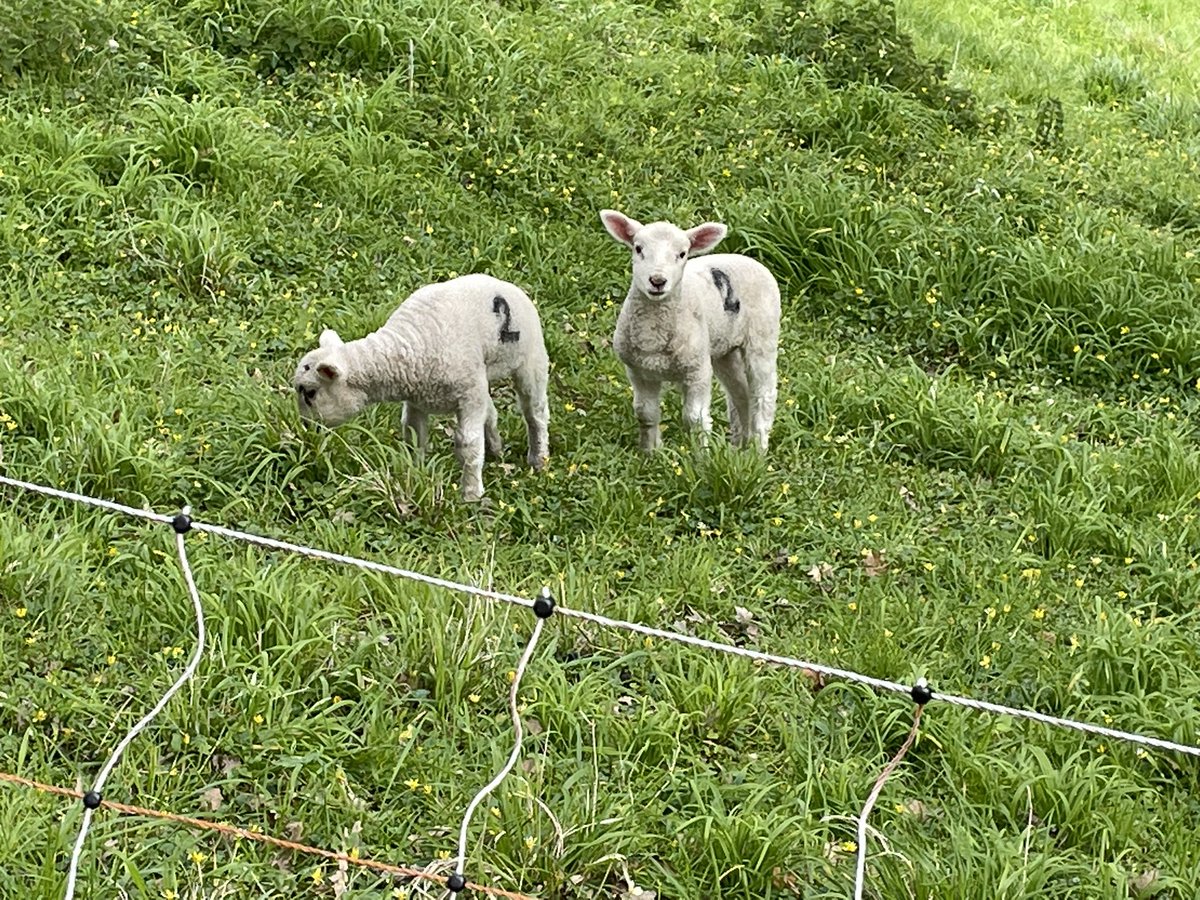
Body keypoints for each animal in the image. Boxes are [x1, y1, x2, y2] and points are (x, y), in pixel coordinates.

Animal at [292, 271, 549, 504]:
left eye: (310, 393)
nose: (305, 429)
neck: (406, 345)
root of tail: (505, 283)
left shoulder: (469, 395)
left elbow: (468, 444)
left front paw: (471, 495)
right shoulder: (420, 400)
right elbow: (413, 436)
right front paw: (415, 473)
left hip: (531, 359)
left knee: (535, 413)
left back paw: (539, 459)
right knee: (492, 412)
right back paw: (496, 448)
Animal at [600, 210, 787, 451]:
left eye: (682, 254)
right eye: (638, 248)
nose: (657, 281)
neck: (654, 335)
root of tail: (750, 259)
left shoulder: (697, 371)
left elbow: (694, 418)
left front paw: (701, 455)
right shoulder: (639, 371)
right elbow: (645, 413)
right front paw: (650, 453)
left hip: (762, 337)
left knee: (764, 395)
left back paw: (758, 449)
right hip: (723, 349)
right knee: (740, 393)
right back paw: (738, 447)